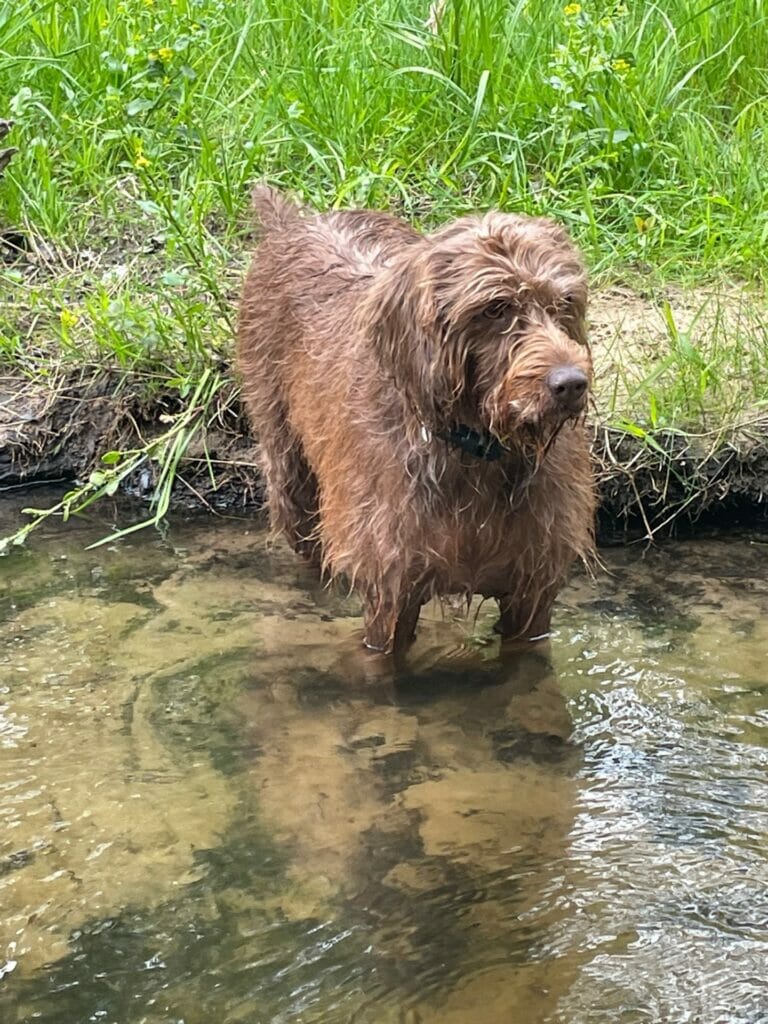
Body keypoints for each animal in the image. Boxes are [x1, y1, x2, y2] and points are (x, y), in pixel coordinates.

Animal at [237, 187, 598, 651]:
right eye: (495, 309)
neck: (477, 454)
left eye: (565, 303)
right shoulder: (390, 590)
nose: (570, 384)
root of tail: (294, 222)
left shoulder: (532, 596)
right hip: (288, 468)